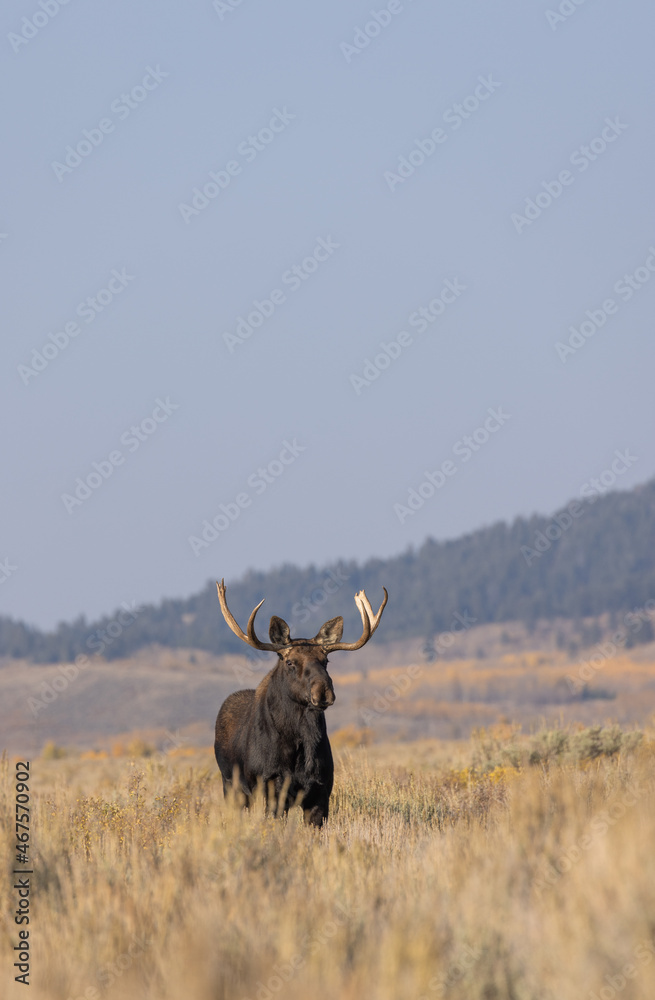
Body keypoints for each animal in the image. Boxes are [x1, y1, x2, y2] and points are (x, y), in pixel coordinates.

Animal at [214, 579, 387, 827]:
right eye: (290, 662)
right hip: (231, 784)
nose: (323, 691)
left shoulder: (321, 792)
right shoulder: (273, 786)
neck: (298, 747)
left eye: (326, 660)